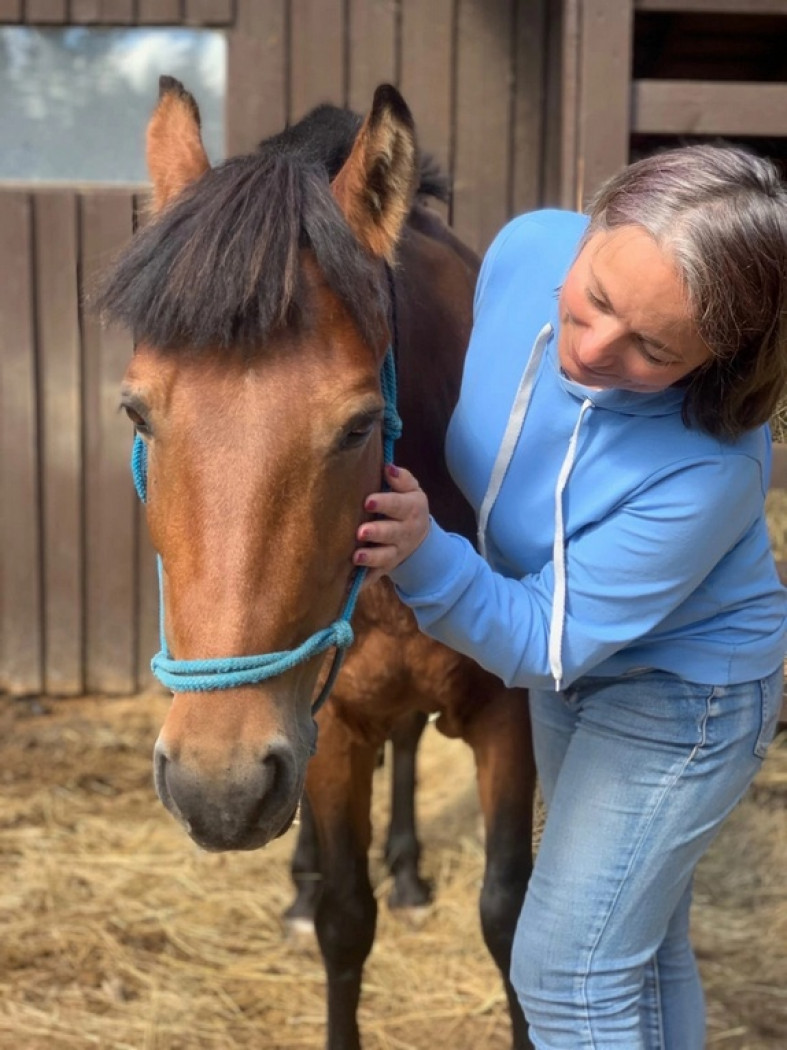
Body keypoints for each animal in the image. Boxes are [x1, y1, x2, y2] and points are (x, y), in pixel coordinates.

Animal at [98, 76, 541, 1050]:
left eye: (356, 425)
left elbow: (508, 914)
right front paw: (317, 899)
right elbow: (345, 918)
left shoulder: (509, 714)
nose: (216, 786)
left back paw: (408, 871)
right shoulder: (327, 727)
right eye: (137, 413)